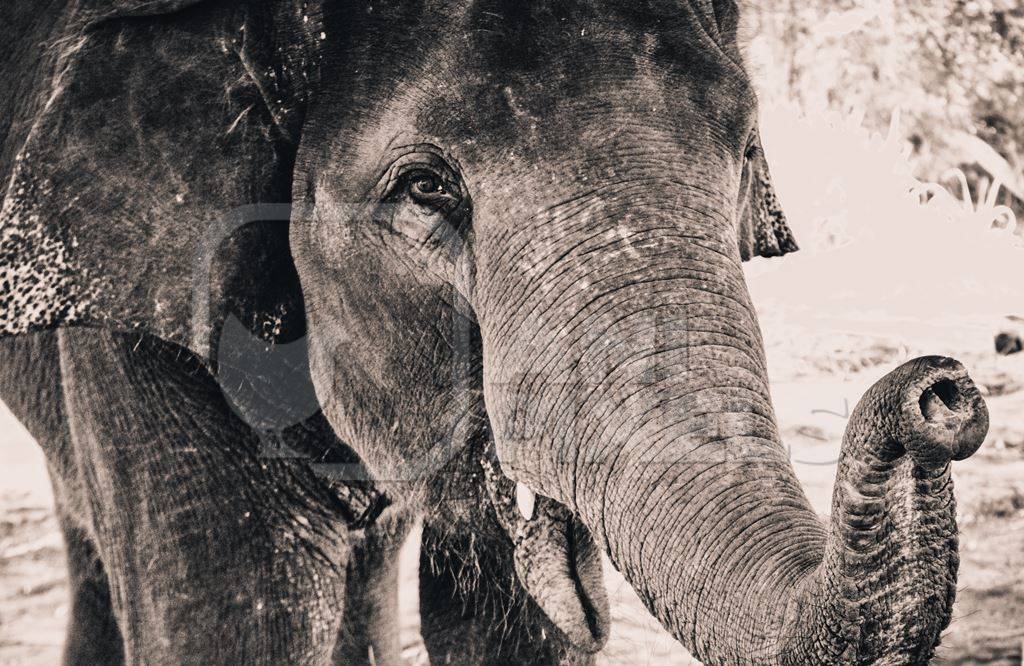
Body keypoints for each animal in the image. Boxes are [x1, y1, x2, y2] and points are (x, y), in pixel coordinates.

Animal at [0, 1, 987, 663]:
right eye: (425, 187)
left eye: (745, 156)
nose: (940, 392)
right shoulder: (142, 287)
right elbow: (236, 617)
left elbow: (502, 626)